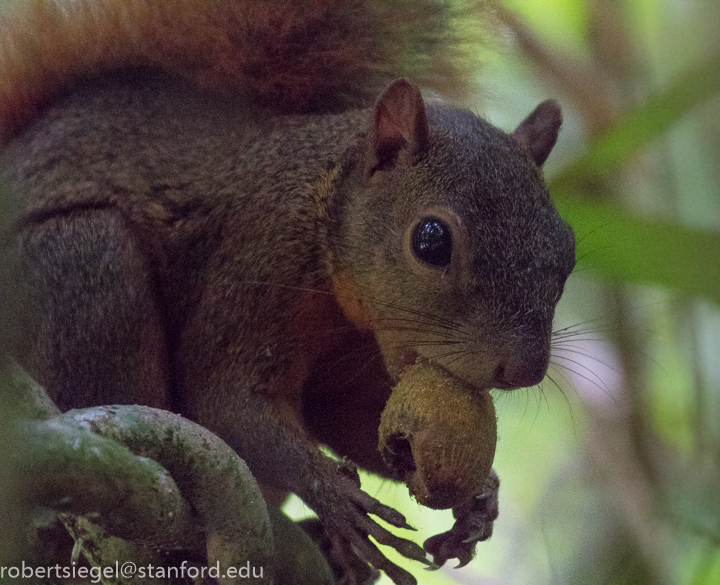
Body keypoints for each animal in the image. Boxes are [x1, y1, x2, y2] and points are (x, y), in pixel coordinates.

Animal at [0, 1, 572, 584]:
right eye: (430, 240)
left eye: (567, 249)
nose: (523, 370)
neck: (322, 205)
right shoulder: (259, 255)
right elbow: (226, 398)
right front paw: (334, 497)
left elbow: (345, 415)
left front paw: (480, 501)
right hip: (83, 263)